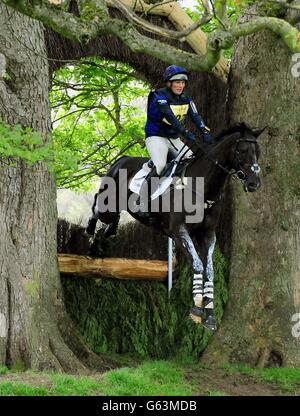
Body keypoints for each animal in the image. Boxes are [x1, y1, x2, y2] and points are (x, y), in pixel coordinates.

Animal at [87, 122, 262, 330]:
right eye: (242, 150)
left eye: (258, 153)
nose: (254, 184)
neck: (202, 188)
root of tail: (122, 159)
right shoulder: (179, 232)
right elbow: (197, 265)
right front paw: (196, 309)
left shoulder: (207, 234)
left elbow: (209, 269)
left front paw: (209, 315)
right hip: (108, 205)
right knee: (97, 206)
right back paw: (90, 236)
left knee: (109, 225)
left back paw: (103, 238)